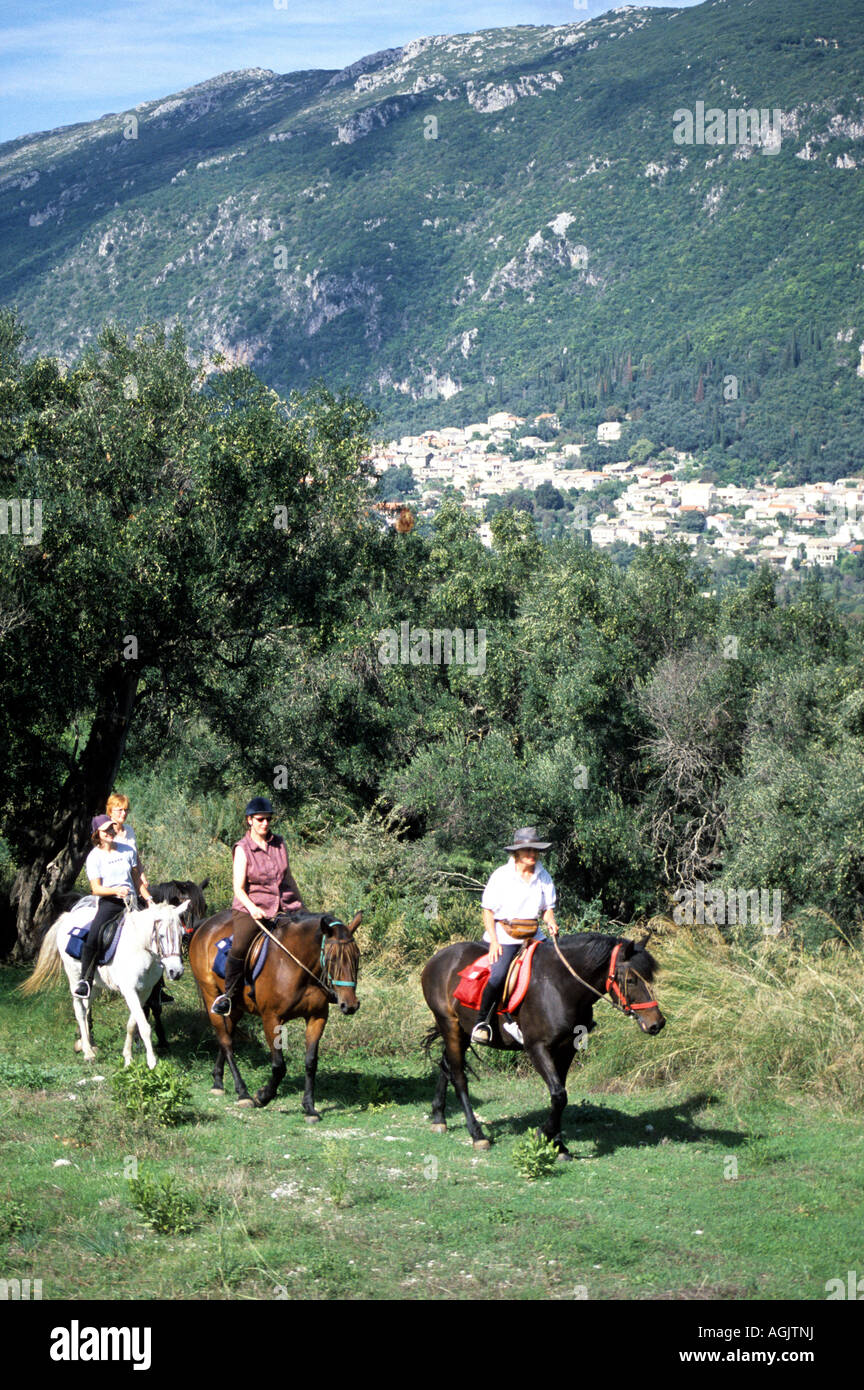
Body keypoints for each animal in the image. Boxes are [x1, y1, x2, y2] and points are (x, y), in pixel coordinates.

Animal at [19, 895, 188, 1067]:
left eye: (182, 934)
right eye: (161, 935)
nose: (176, 971)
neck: (140, 948)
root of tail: (67, 916)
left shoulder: (144, 992)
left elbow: (132, 1024)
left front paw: (128, 1058)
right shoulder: (129, 990)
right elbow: (144, 1026)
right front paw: (152, 1062)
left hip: (94, 985)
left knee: (87, 1008)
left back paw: (88, 1044)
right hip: (74, 978)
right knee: (79, 1010)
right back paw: (88, 1053)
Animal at [188, 906, 361, 1112]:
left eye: (357, 956)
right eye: (332, 958)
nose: (350, 1005)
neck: (295, 966)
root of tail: (205, 924)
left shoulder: (317, 1017)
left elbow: (311, 1062)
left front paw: (310, 1108)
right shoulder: (271, 1018)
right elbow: (279, 1066)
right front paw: (263, 1096)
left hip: (236, 1006)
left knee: (227, 1034)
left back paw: (217, 1081)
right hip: (210, 994)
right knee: (226, 1041)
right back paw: (243, 1092)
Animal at [422, 934, 666, 1150]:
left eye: (650, 978)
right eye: (631, 980)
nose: (657, 1023)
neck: (560, 987)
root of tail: (437, 958)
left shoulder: (567, 1048)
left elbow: (560, 1094)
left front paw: (558, 1144)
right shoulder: (536, 1048)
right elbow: (558, 1095)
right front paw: (544, 1134)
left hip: (461, 1031)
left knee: (446, 1065)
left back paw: (439, 1118)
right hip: (450, 1025)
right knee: (458, 1077)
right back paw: (477, 1135)